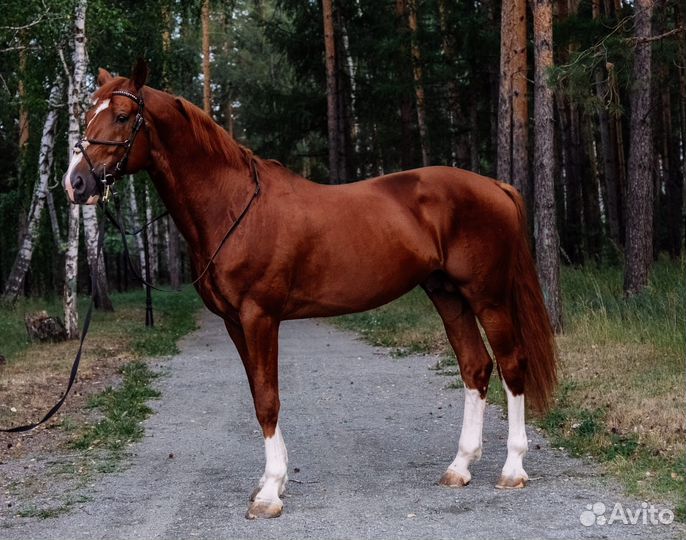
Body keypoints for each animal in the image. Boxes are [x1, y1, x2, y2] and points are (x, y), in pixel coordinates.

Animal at [64, 60, 557, 520]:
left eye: (123, 116)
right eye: (87, 114)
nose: (76, 183)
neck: (233, 207)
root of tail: (496, 186)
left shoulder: (260, 317)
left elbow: (268, 400)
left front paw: (269, 494)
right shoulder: (234, 323)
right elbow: (257, 394)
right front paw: (273, 481)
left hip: (487, 296)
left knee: (511, 364)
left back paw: (512, 469)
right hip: (447, 294)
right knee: (475, 366)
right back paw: (460, 467)